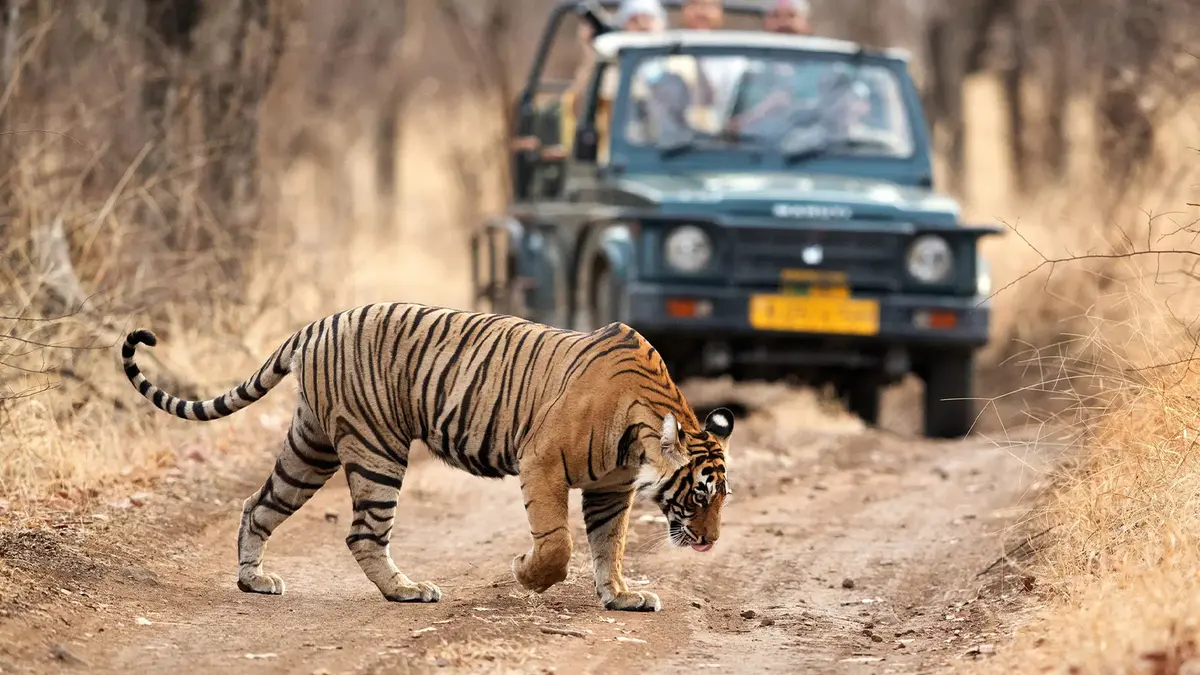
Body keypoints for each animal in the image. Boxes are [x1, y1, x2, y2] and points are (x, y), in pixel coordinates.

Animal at [120, 302, 734, 612]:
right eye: (700, 493)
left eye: (721, 497)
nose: (710, 542)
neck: (641, 429)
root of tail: (316, 324)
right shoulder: (541, 461)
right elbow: (558, 544)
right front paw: (526, 573)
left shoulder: (611, 487)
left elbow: (611, 545)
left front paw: (622, 596)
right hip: (377, 448)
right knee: (363, 533)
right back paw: (406, 591)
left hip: (311, 446)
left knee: (258, 504)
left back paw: (254, 580)